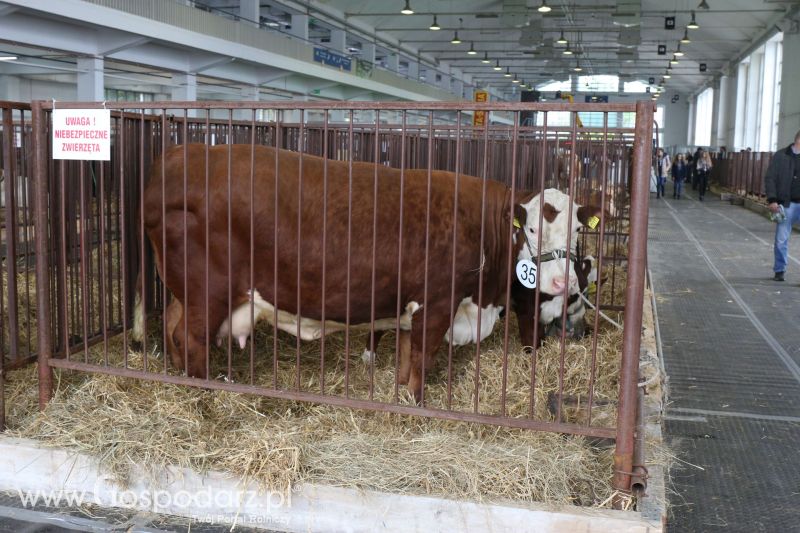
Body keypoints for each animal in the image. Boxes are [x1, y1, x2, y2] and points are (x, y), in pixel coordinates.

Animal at [136, 143, 600, 402]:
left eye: (578, 230)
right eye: (532, 228)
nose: (562, 281)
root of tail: (180, 155)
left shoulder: (412, 306)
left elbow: (407, 355)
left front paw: (401, 392)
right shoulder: (438, 302)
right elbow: (423, 357)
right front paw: (417, 402)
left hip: (186, 291)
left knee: (173, 325)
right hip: (207, 290)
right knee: (190, 337)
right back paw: (203, 391)